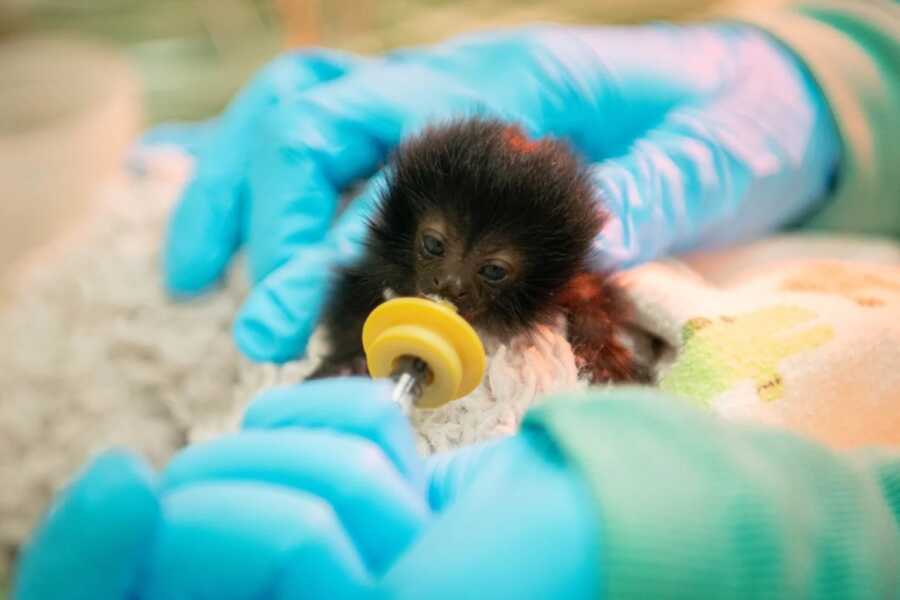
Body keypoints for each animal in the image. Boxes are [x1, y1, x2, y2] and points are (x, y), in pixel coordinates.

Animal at [312, 116, 648, 384]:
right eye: (433, 245)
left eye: (494, 271)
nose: (450, 283)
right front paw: (348, 362)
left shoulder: (565, 280)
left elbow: (590, 293)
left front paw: (604, 355)